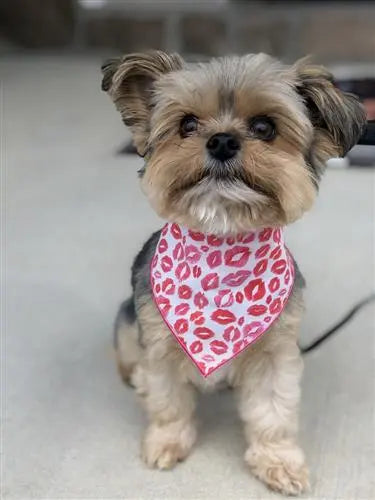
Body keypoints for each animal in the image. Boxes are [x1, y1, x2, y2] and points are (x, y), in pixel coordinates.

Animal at [101, 52, 366, 494]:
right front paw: (166, 441)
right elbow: (167, 402)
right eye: (187, 124)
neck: (222, 245)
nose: (222, 140)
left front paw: (279, 461)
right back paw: (130, 376)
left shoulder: (276, 355)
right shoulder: (159, 348)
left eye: (264, 127)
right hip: (126, 320)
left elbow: (273, 415)